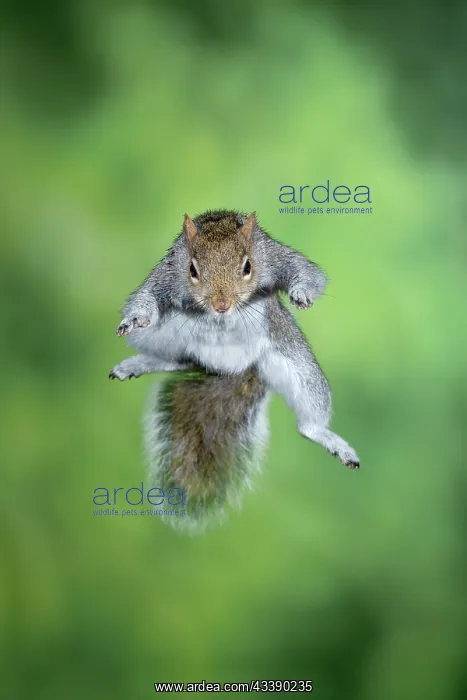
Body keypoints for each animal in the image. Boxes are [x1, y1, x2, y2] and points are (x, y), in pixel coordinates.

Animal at [109, 210, 360, 531]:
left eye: (248, 266)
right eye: (192, 269)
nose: (221, 305)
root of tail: (231, 368)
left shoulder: (272, 254)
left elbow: (305, 271)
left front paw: (301, 294)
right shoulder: (168, 270)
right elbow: (147, 294)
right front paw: (134, 318)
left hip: (298, 366)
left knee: (308, 421)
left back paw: (327, 438)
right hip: (160, 337)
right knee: (179, 359)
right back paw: (139, 363)